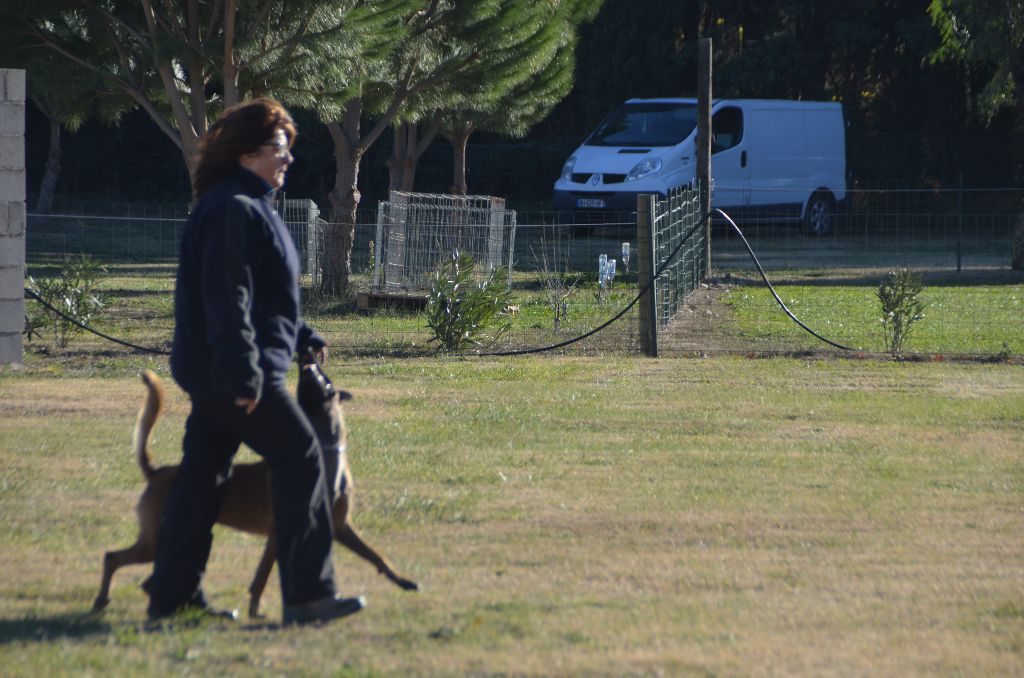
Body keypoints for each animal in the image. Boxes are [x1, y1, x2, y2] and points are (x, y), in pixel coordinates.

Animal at [94, 364, 417, 618]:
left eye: (325, 378)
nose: (307, 365)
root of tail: (156, 471)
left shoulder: (339, 526)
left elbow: (376, 556)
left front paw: (404, 581)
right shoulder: (280, 534)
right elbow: (261, 578)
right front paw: (257, 610)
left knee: (146, 577)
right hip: (153, 541)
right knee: (113, 558)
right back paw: (103, 601)